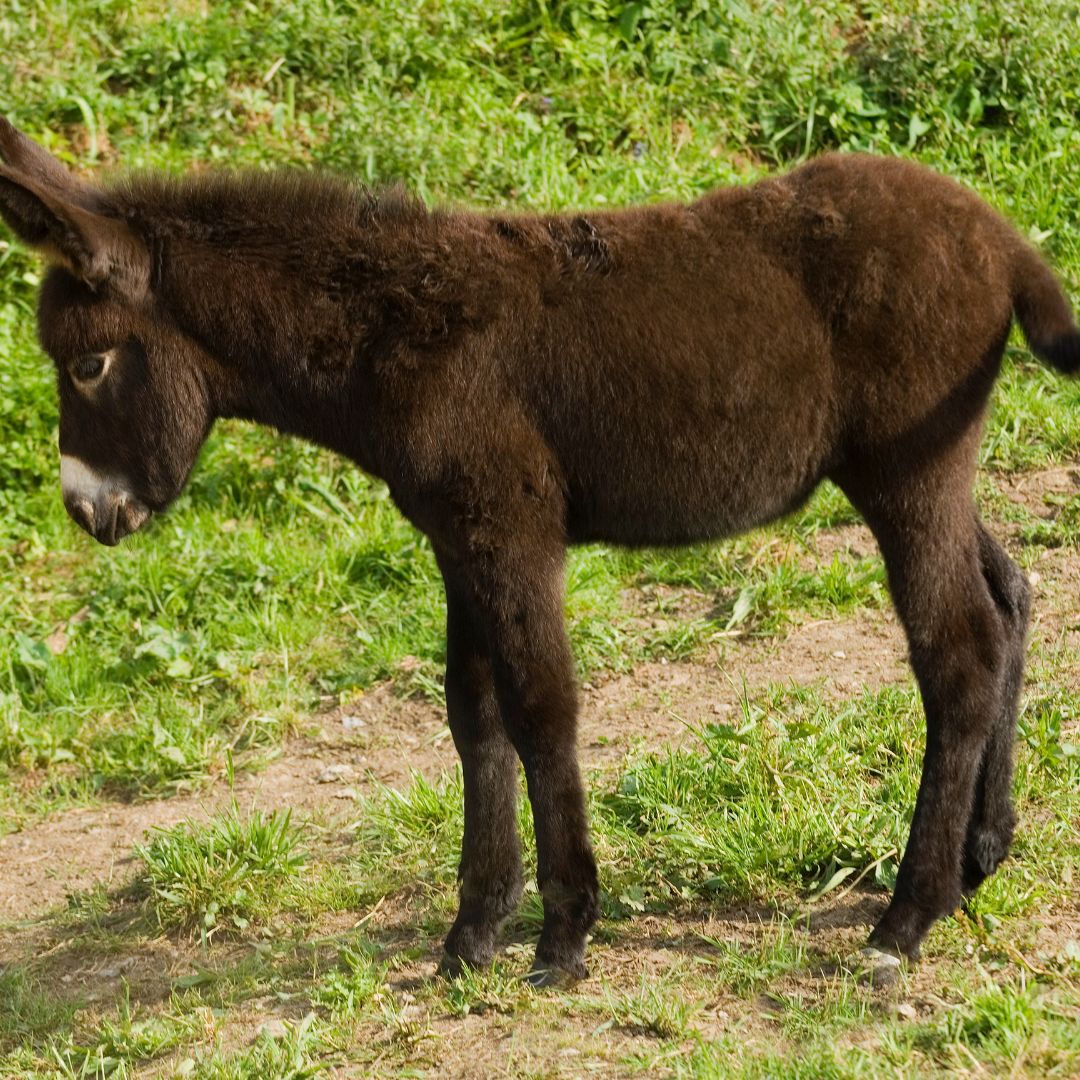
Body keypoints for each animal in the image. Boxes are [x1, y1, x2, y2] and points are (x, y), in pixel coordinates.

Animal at [0, 118, 1075, 989]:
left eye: (87, 363)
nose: (88, 512)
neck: (388, 335)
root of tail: (1001, 238)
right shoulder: (456, 538)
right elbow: (472, 716)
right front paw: (473, 932)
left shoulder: (510, 531)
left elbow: (541, 707)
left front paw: (563, 938)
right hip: (919, 469)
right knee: (1011, 593)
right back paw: (982, 855)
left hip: (904, 472)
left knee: (958, 651)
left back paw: (906, 921)